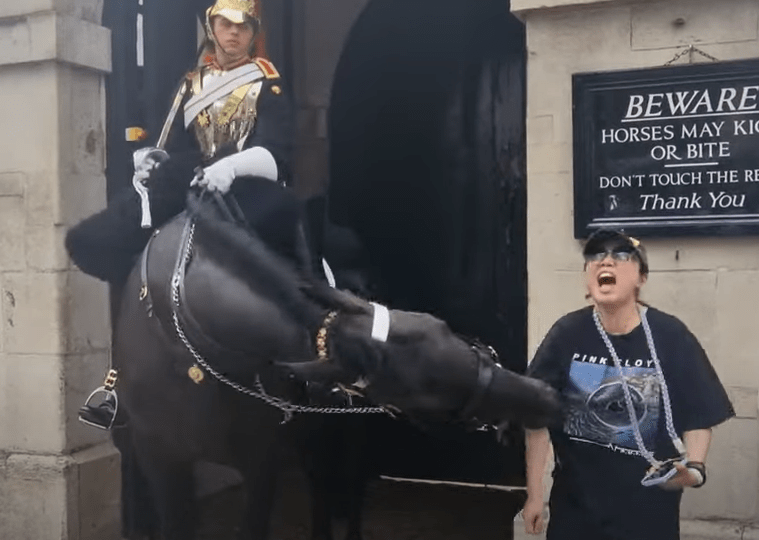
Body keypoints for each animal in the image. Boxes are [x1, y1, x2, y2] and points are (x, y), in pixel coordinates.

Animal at [107, 182, 560, 540]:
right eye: (428, 400)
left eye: (446, 329)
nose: (543, 396)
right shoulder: (159, 456)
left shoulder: (261, 462)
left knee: (340, 489)